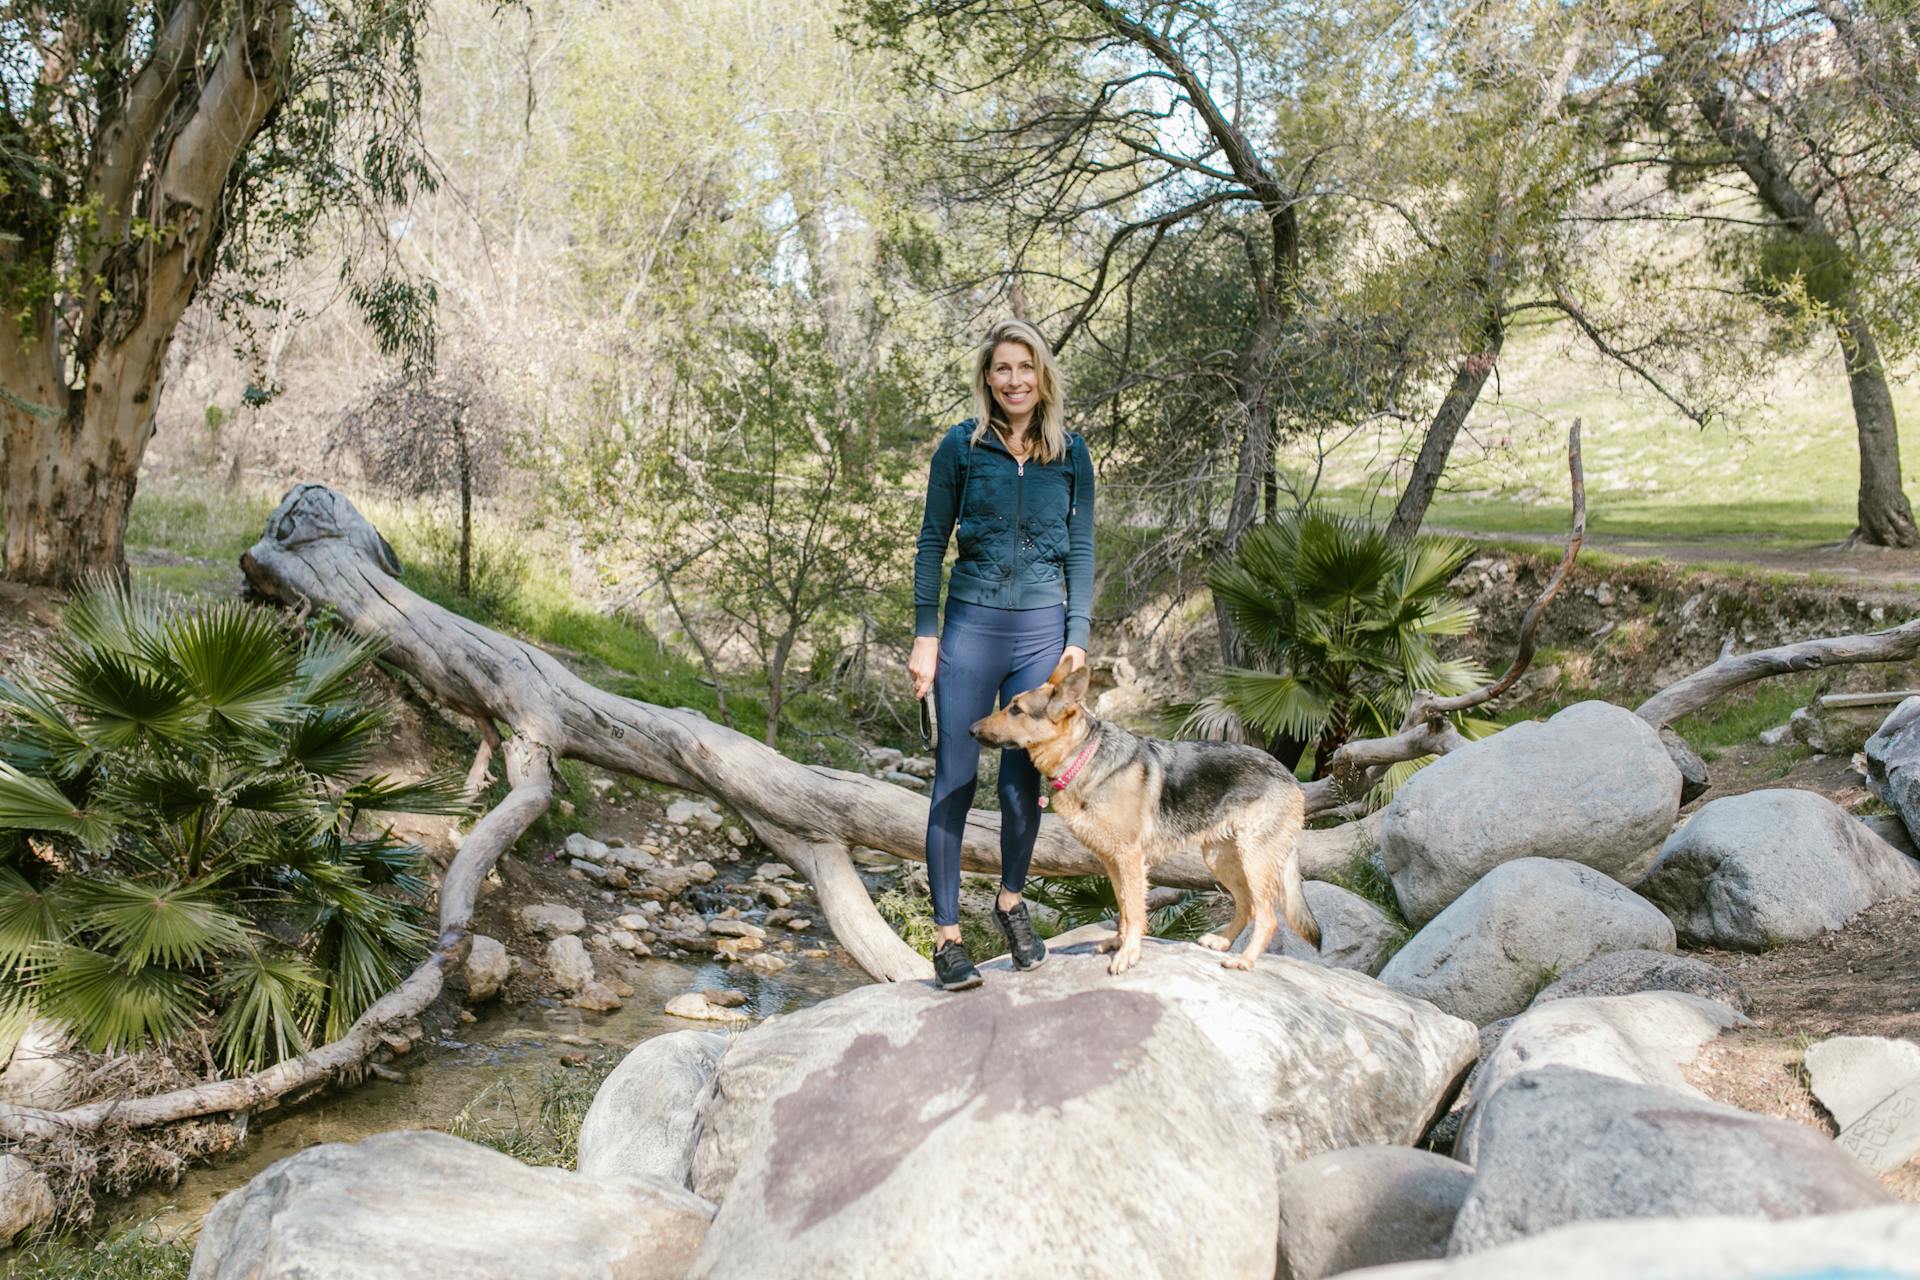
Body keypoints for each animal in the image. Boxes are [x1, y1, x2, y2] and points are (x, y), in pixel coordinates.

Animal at [975, 660, 1320, 971]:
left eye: (1016, 710)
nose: (971, 729)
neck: (1084, 757)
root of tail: (1289, 775)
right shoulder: (1112, 862)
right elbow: (1123, 907)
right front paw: (1119, 943)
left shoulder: (1130, 860)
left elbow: (1135, 910)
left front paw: (1128, 954)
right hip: (1221, 858)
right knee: (1247, 905)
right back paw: (1222, 941)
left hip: (1254, 858)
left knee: (1268, 916)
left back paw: (1244, 960)